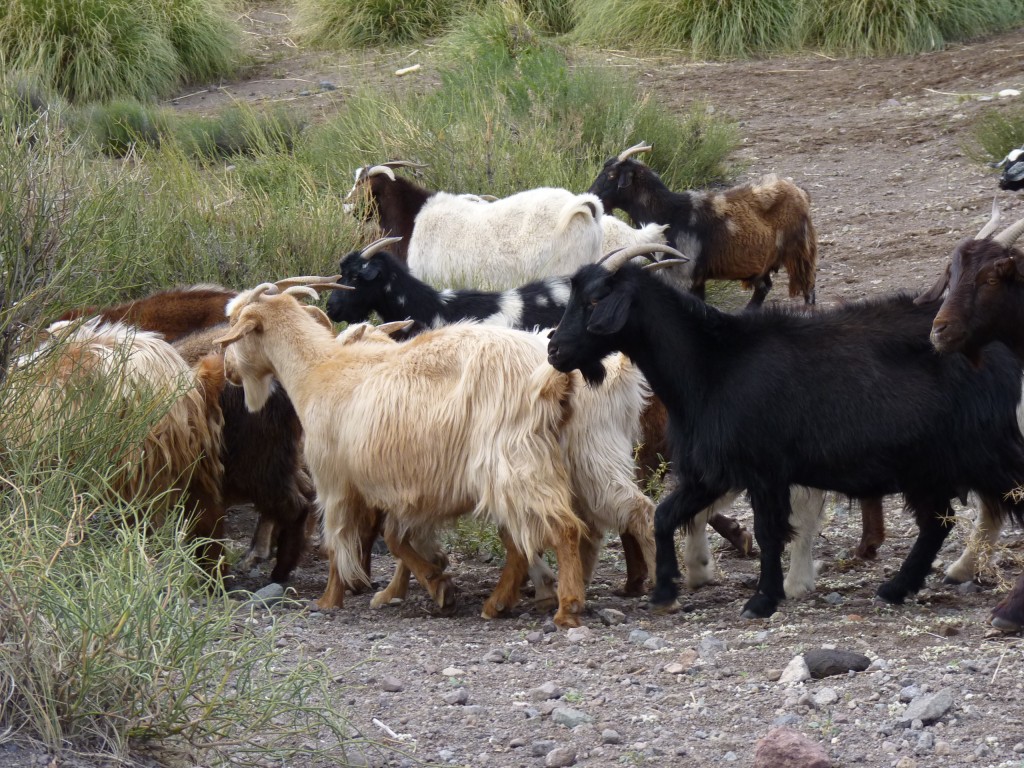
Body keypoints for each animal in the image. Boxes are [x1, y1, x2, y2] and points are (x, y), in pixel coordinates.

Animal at [216, 286, 589, 626]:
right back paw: (502, 602)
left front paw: (329, 599)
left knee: (560, 528)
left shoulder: (334, 480)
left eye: (235, 325)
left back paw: (566, 607)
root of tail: (550, 377)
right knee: (526, 537)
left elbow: (339, 541)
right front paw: (435, 583)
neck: (318, 371)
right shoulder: (409, 489)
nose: (227, 371)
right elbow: (398, 541)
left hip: (512, 462)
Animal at [548, 256, 1024, 622]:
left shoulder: (763, 469)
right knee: (936, 522)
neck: (711, 365)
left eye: (594, 300)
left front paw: (762, 600)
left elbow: (769, 531)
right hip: (924, 465)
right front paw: (665, 591)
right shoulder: (713, 470)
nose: (555, 351)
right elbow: (664, 516)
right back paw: (895, 588)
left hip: (985, 451)